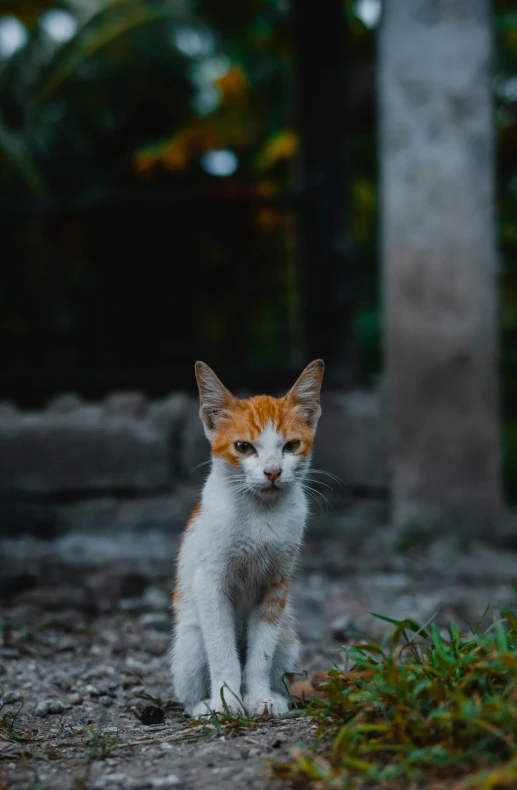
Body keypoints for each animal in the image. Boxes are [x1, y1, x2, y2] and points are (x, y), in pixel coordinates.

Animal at [169, 362, 322, 720]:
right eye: (243, 447)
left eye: (291, 446)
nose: (272, 471)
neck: (260, 514)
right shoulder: (209, 582)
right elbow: (222, 650)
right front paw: (226, 703)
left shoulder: (277, 584)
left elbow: (260, 654)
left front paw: (260, 698)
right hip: (189, 640)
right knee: (188, 688)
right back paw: (203, 706)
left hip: (288, 636)